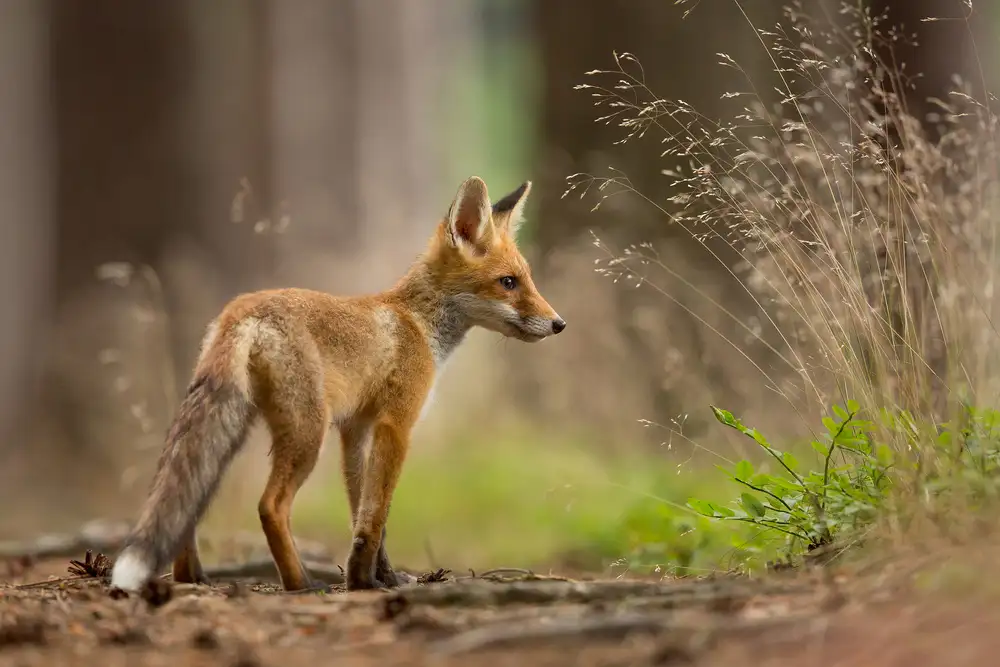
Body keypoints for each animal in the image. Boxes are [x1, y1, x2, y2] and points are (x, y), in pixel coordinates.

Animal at [108, 176, 565, 593]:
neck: (417, 323)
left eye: (527, 279)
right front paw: (364, 582)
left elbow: (363, 516)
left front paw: (381, 577)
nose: (559, 324)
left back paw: (192, 577)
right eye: (508, 282)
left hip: (235, 426)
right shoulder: (396, 425)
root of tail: (241, 309)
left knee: (188, 503)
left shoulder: (355, 429)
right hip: (306, 434)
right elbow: (376, 515)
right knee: (270, 506)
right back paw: (301, 584)